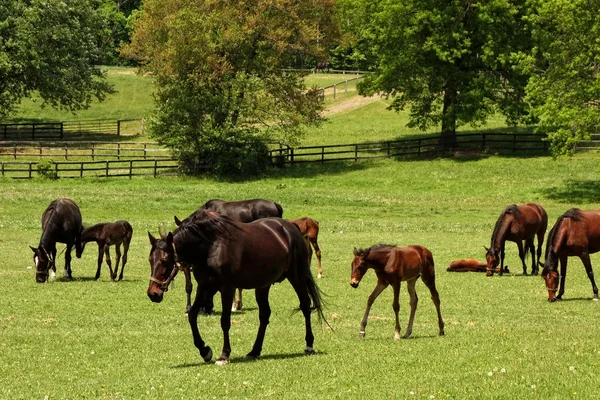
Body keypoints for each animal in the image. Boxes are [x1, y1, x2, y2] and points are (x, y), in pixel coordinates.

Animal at [146, 212, 328, 366]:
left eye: (165, 260)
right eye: (150, 259)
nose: (153, 293)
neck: (210, 247)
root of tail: (291, 228)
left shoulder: (227, 289)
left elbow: (225, 321)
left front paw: (224, 355)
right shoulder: (205, 287)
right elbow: (192, 315)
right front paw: (205, 351)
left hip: (297, 276)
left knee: (305, 306)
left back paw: (309, 345)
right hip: (263, 285)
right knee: (265, 315)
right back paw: (254, 351)